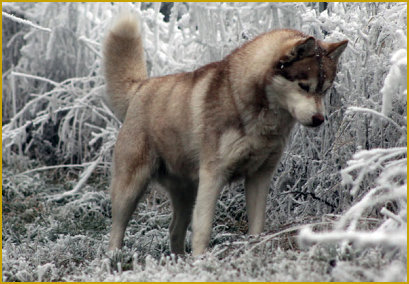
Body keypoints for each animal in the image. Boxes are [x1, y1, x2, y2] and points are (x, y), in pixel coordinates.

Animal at [103, 12, 348, 255]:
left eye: (325, 89)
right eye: (304, 86)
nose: (319, 119)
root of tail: (140, 86)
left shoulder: (260, 176)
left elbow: (256, 228)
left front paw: (252, 252)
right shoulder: (213, 175)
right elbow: (203, 230)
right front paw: (201, 261)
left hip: (186, 191)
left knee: (174, 230)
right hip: (130, 188)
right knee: (116, 230)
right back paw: (114, 259)